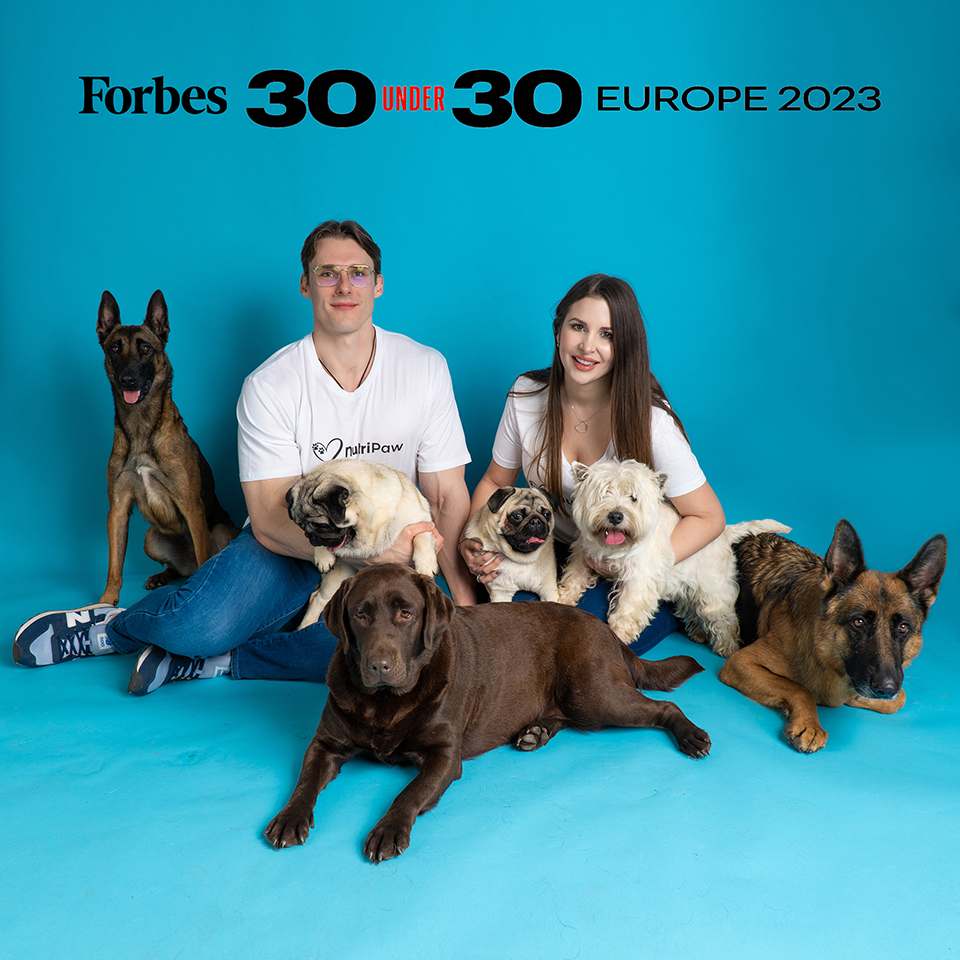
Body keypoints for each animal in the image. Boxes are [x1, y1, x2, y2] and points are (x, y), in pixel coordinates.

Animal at [96, 290, 239, 608]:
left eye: (146, 349)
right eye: (115, 348)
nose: (128, 379)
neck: (141, 429)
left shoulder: (192, 506)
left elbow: (204, 556)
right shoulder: (117, 510)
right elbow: (113, 564)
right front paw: (106, 601)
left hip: (222, 531)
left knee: (201, 561)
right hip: (151, 538)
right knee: (176, 568)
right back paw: (163, 576)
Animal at [266, 564, 708, 864]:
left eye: (406, 613)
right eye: (360, 614)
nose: (379, 665)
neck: (386, 702)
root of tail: (609, 632)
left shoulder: (446, 758)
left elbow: (408, 793)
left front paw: (388, 830)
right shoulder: (325, 743)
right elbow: (305, 781)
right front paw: (289, 818)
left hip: (595, 692)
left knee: (664, 706)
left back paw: (692, 736)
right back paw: (536, 732)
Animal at [720, 520, 944, 752]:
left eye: (903, 627)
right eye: (858, 622)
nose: (886, 688)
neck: (823, 651)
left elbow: (899, 699)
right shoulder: (741, 663)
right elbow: (800, 689)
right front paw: (810, 723)